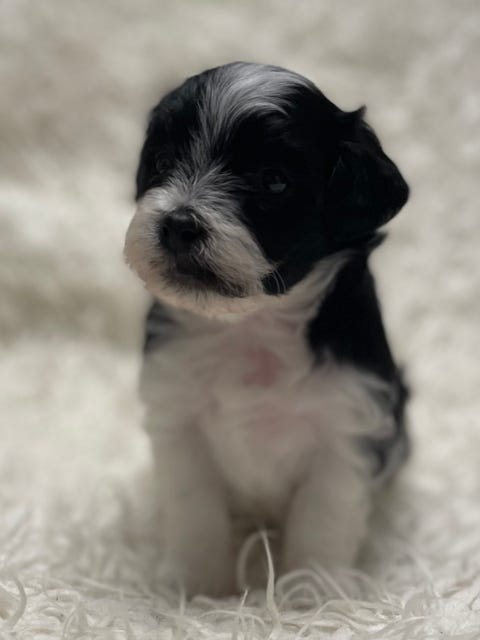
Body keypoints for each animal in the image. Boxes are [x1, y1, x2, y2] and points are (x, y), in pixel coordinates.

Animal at [124, 62, 410, 596]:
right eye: (163, 161)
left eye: (273, 181)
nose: (177, 223)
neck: (250, 327)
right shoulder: (178, 416)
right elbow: (194, 508)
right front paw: (193, 586)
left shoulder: (347, 423)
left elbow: (324, 514)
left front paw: (313, 593)